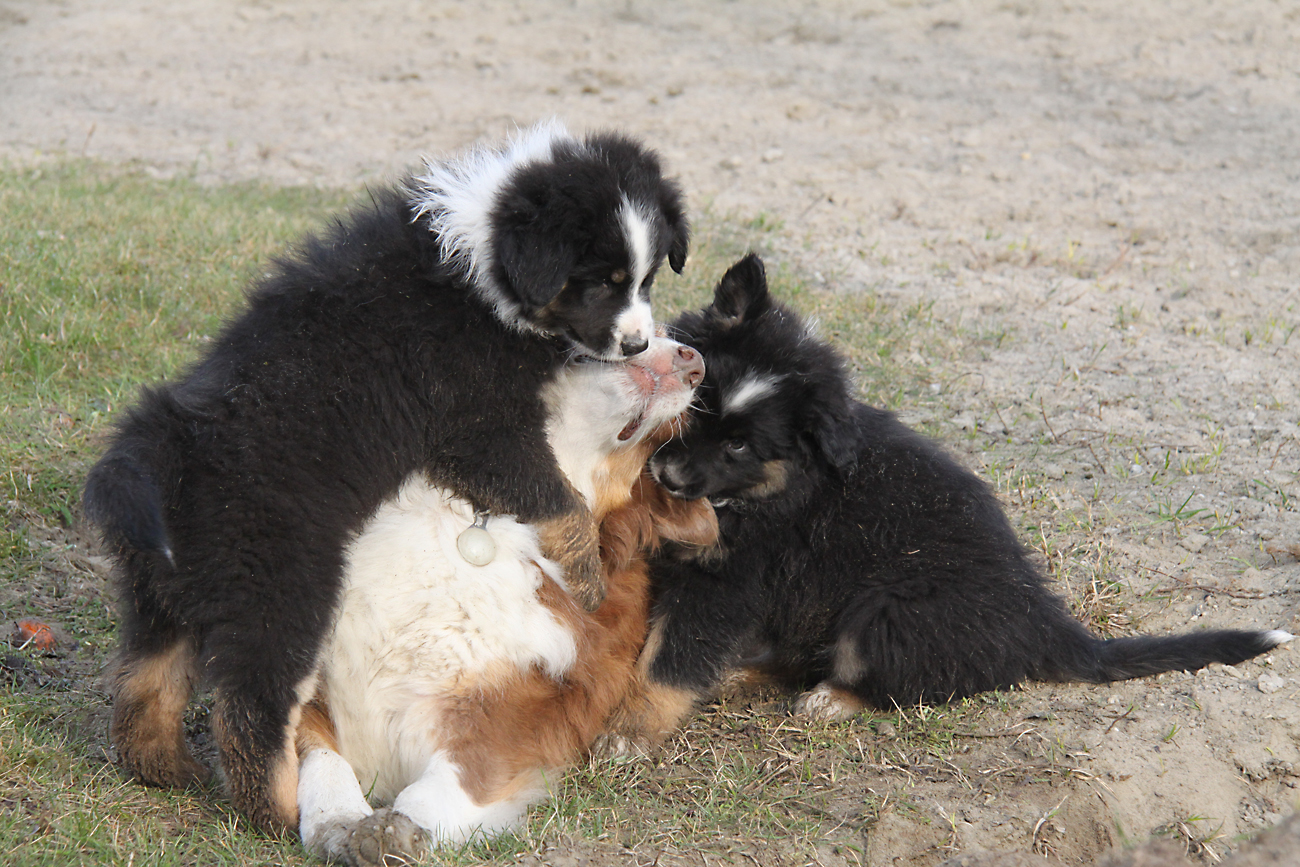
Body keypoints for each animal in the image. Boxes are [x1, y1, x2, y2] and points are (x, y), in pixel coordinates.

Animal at [78, 118, 691, 831]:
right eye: (598, 282)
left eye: (646, 278)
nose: (637, 344)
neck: (479, 268)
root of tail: (157, 461)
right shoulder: (480, 423)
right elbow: (554, 495)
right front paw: (588, 572)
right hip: (280, 591)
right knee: (252, 709)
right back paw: (280, 809)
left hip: (158, 593)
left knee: (145, 681)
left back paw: (163, 768)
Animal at [299, 335, 717, 863]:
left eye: (653, 441)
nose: (695, 362)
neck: (481, 519)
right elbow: (319, 759)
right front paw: (336, 819)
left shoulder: (513, 715)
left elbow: (454, 776)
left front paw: (398, 827)